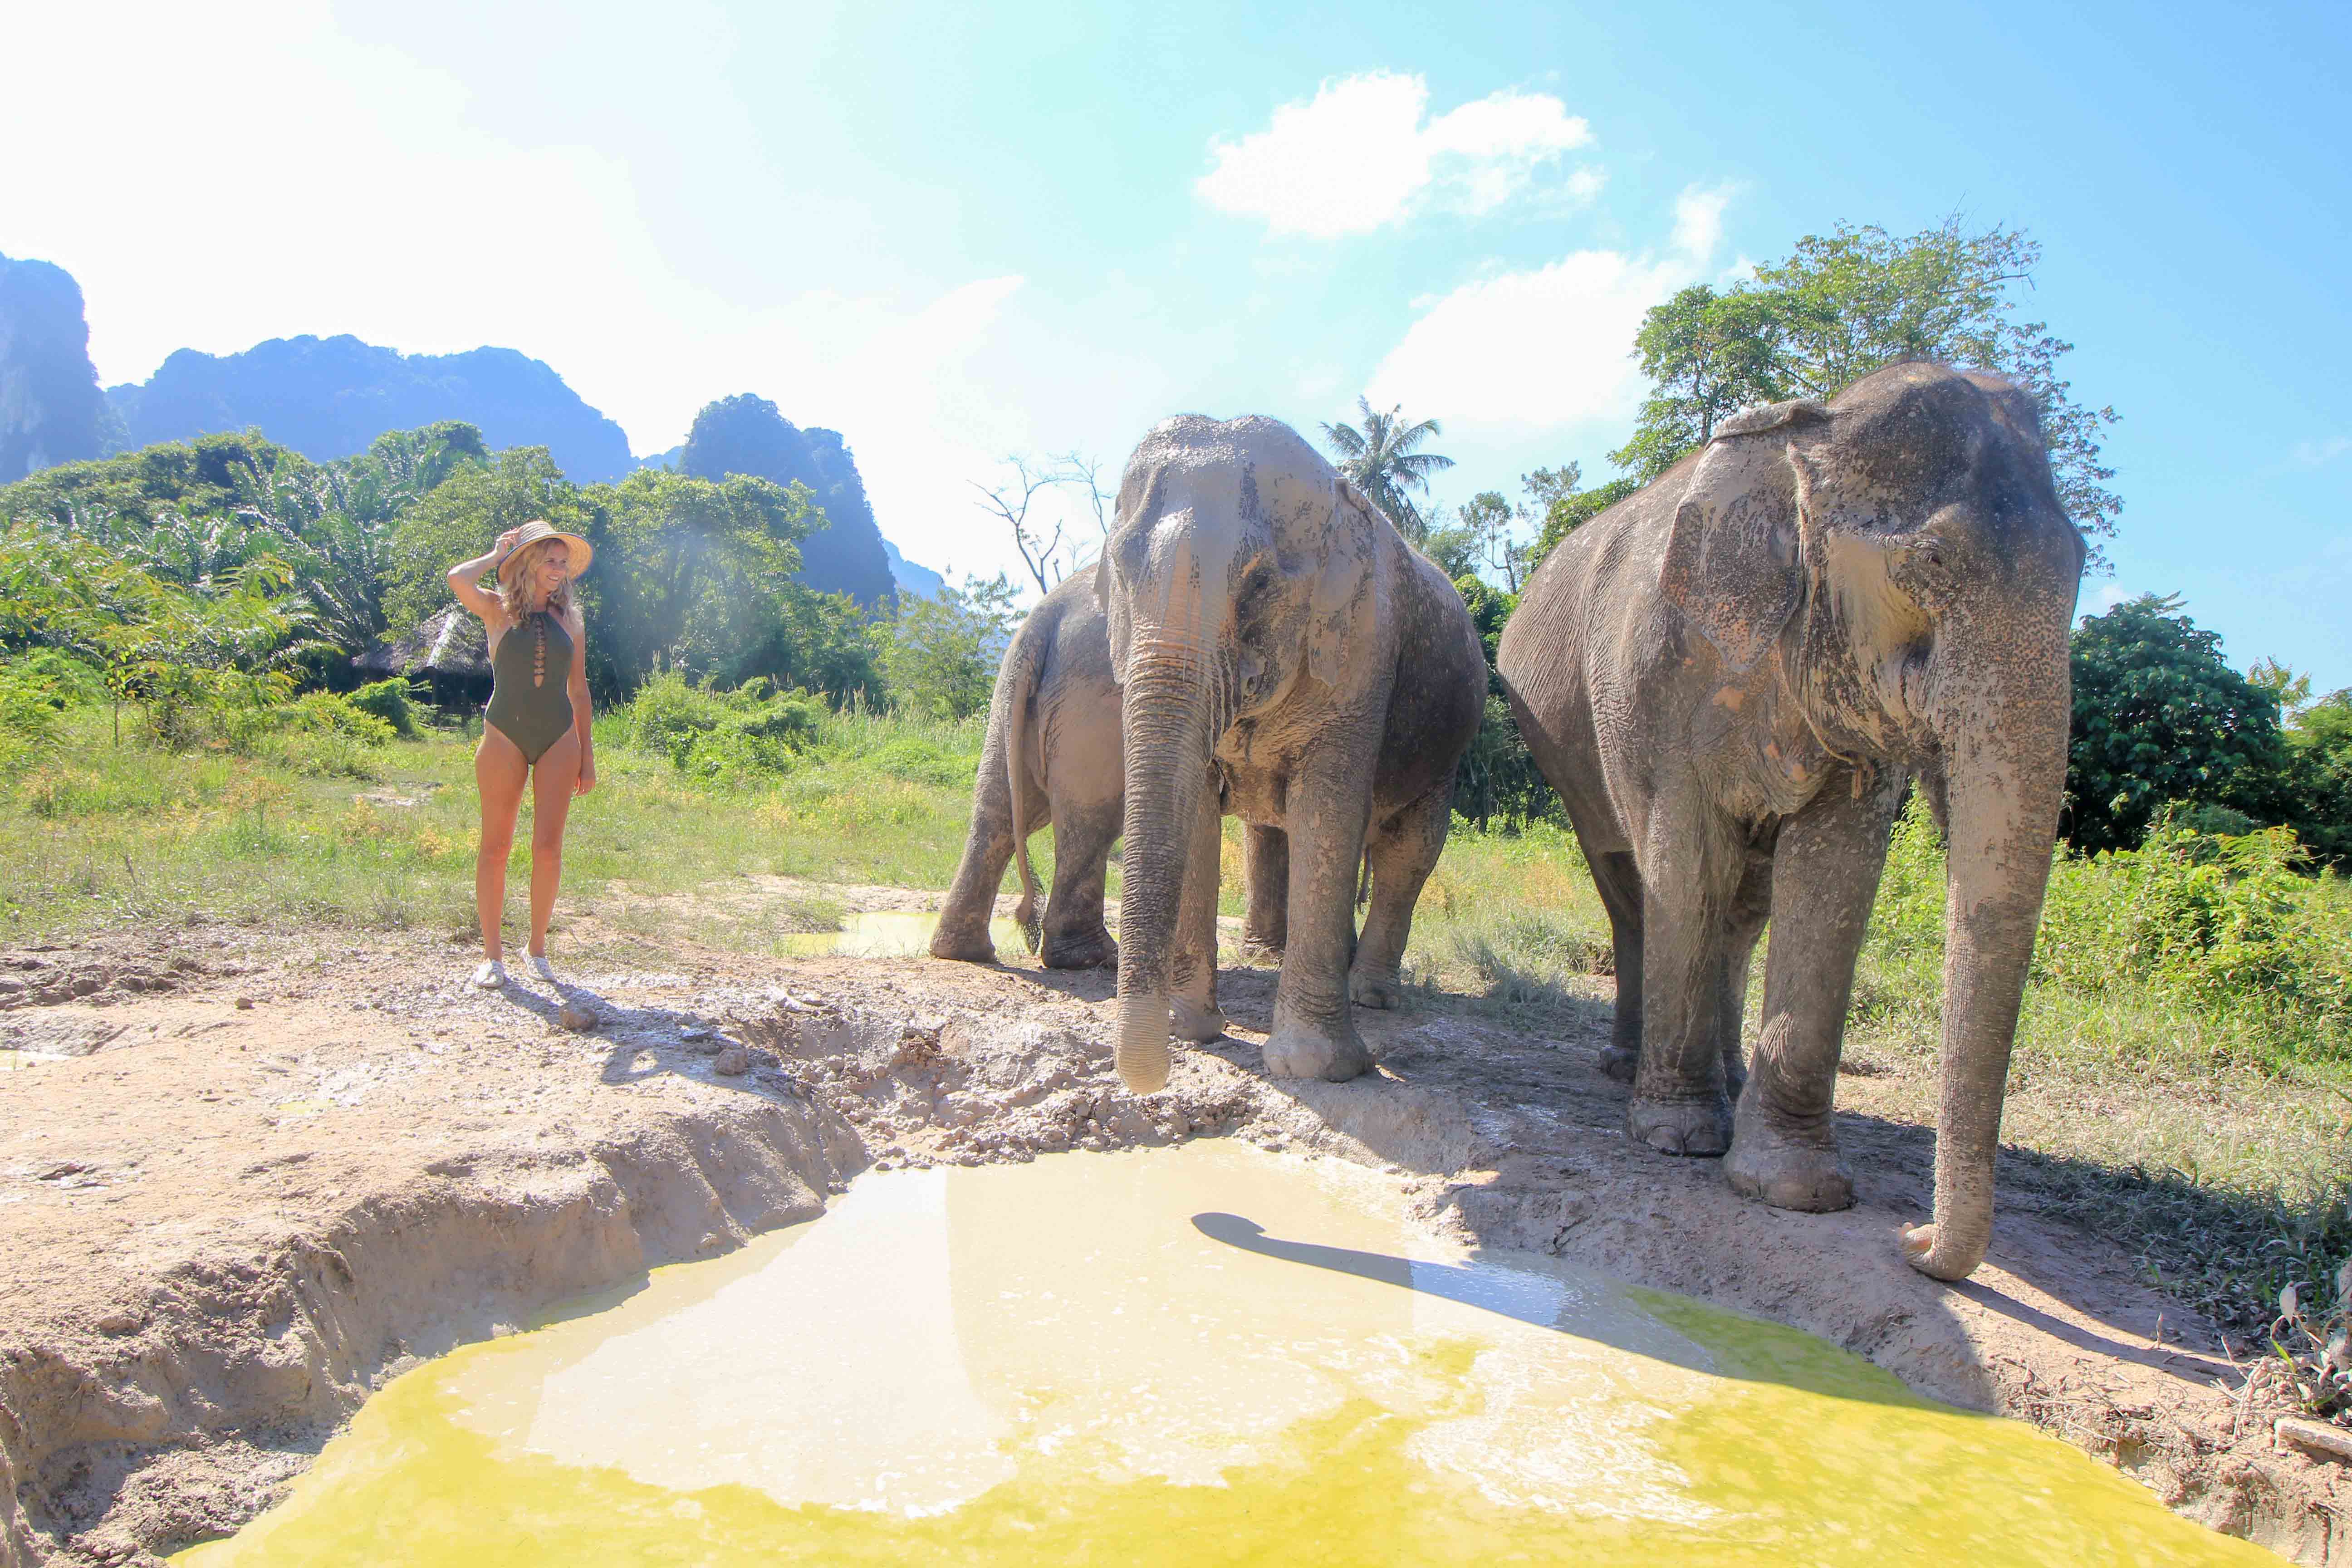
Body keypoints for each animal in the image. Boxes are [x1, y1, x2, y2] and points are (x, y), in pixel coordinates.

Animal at [1091, 421, 1477, 1105]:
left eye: (1261, 584)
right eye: (1122, 566)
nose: (1151, 1082)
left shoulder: (1362, 653)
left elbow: (1328, 808)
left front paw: (1315, 1068)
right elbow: (1197, 808)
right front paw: (1193, 1030)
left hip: (1446, 748)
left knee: (1406, 852)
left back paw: (1371, 994)